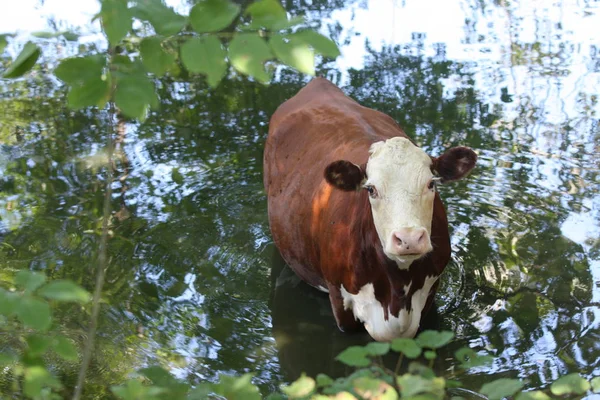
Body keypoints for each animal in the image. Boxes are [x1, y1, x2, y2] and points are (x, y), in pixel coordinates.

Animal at [264, 79, 476, 342]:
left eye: (431, 184)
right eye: (371, 189)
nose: (408, 238)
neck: (397, 291)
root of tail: (317, 84)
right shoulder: (339, 301)